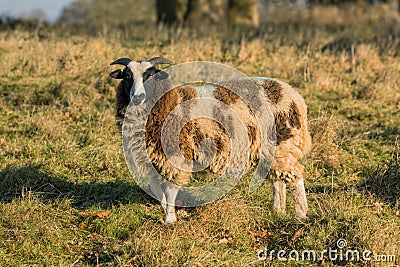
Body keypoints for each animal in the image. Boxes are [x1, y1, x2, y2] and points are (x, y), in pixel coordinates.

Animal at [109, 56, 312, 224]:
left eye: (150, 75)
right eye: (127, 76)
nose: (138, 97)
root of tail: (294, 94)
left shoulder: (177, 155)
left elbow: (170, 189)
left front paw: (170, 218)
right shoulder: (154, 158)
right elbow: (156, 189)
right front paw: (165, 209)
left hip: (284, 145)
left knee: (295, 177)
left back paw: (301, 214)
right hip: (270, 150)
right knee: (277, 179)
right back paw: (277, 210)